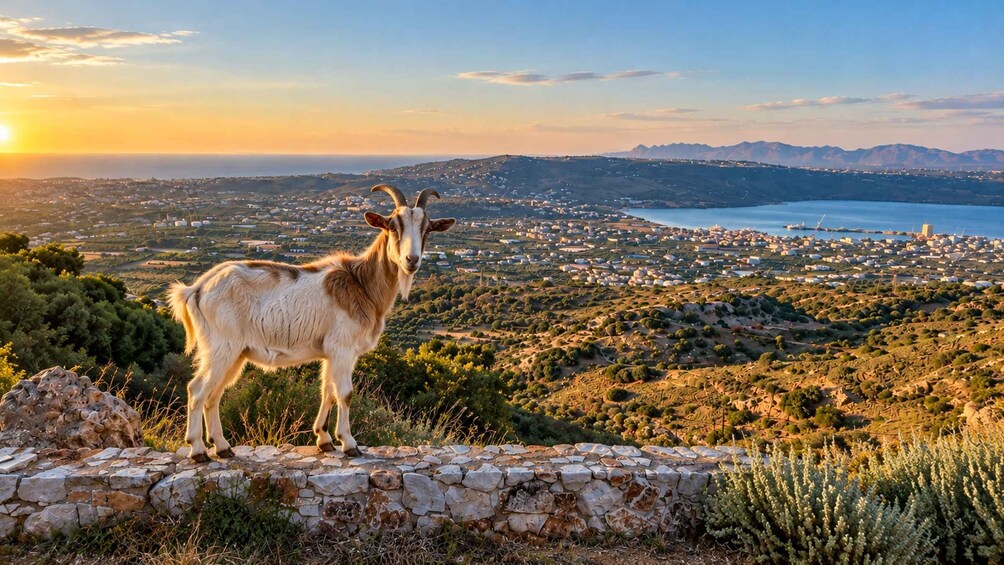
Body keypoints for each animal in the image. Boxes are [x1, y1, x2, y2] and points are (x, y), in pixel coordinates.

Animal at [168, 185, 455, 462]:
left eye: (427, 229)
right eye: (393, 226)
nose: (411, 260)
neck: (361, 284)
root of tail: (197, 289)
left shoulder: (330, 351)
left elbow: (327, 390)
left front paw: (325, 440)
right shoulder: (342, 347)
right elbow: (345, 393)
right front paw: (349, 444)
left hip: (235, 354)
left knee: (214, 395)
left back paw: (222, 447)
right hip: (222, 347)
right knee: (197, 390)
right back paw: (198, 450)